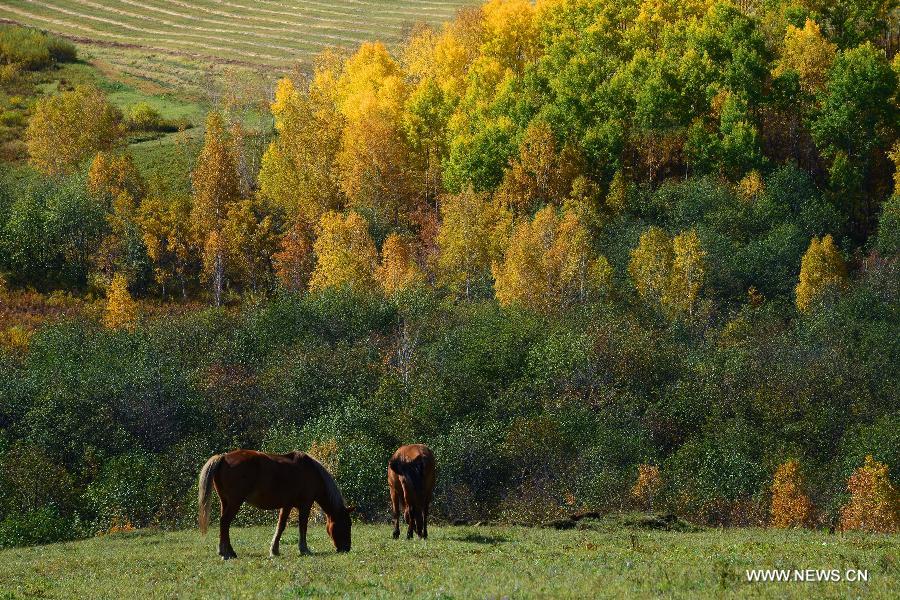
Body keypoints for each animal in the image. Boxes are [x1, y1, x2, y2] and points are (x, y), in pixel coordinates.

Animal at [199, 450, 354, 556]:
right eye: (347, 524)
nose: (346, 548)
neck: (311, 472)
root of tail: (223, 457)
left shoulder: (287, 505)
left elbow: (281, 526)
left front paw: (274, 550)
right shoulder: (305, 505)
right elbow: (302, 527)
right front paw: (304, 549)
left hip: (225, 502)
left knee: (223, 525)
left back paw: (226, 550)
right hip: (234, 502)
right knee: (225, 522)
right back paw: (227, 553)